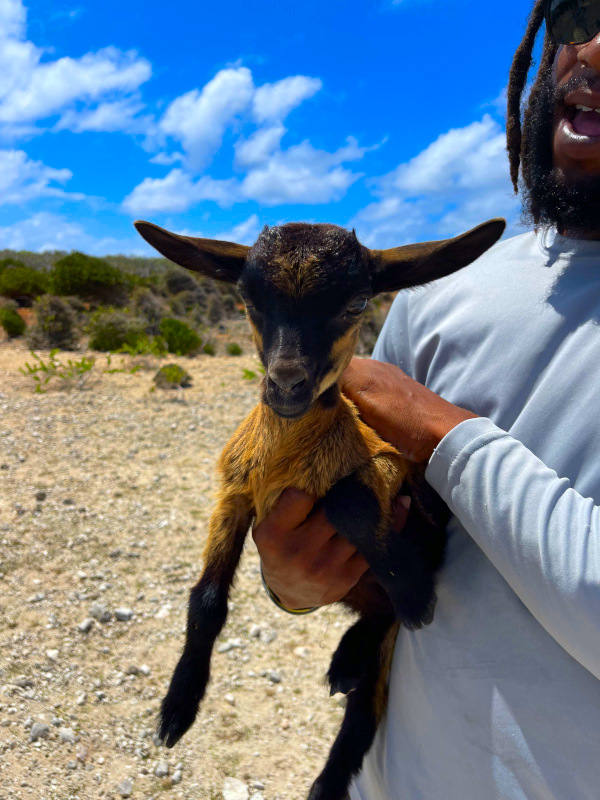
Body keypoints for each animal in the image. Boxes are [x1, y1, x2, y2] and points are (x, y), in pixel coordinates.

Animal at [134, 217, 504, 800]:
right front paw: (176, 709)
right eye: (247, 298)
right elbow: (207, 601)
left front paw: (417, 596)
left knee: (366, 706)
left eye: (357, 304)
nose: (286, 383)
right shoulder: (235, 493)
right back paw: (347, 664)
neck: (286, 458)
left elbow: (348, 501)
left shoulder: (387, 466)